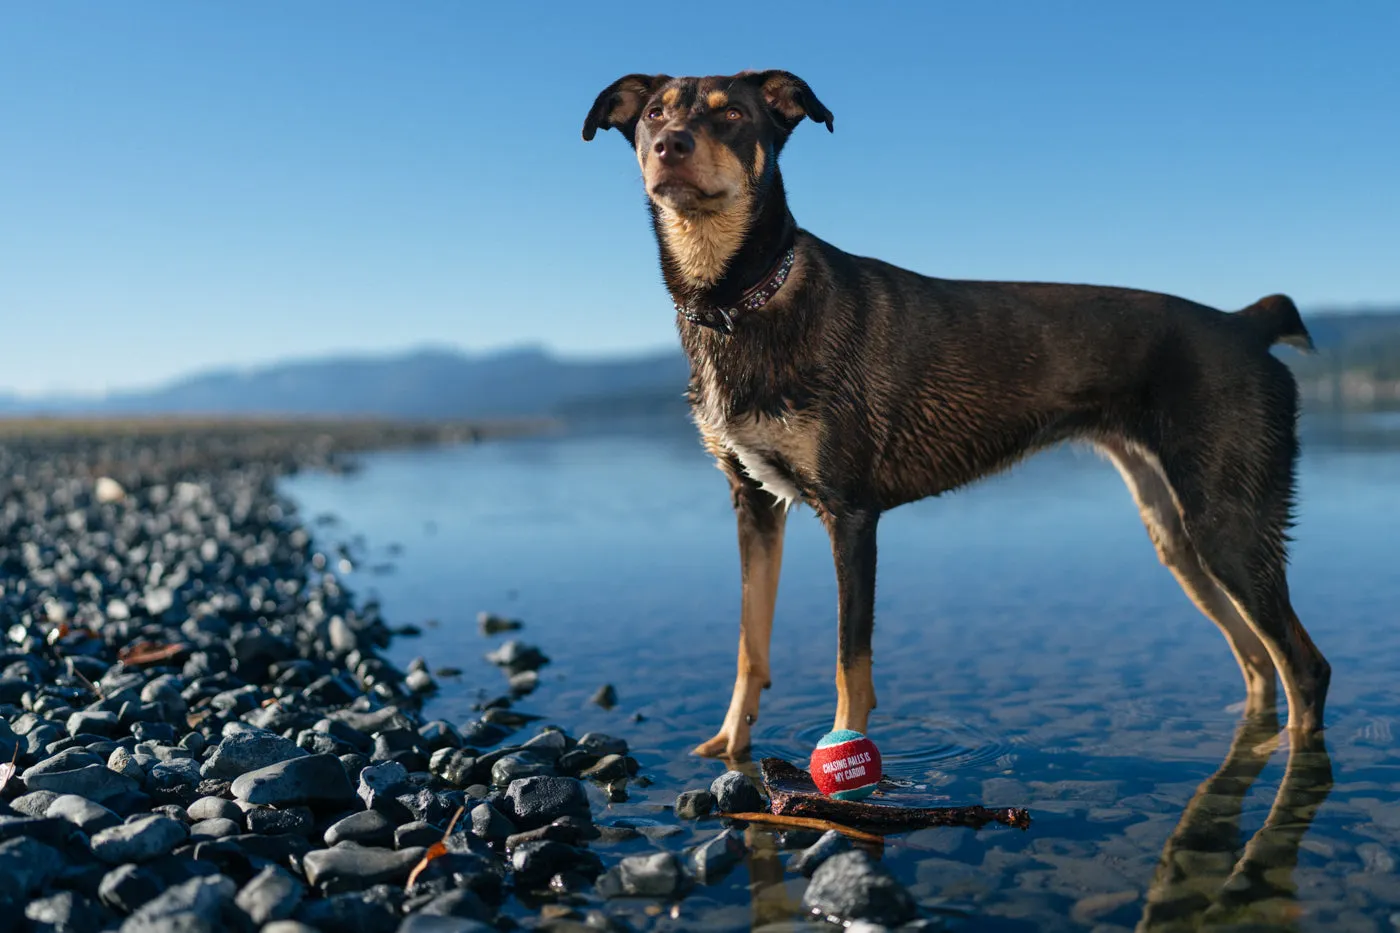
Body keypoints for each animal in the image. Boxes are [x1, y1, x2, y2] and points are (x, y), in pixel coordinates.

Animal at [579, 70, 1332, 756]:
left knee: (1306, 667)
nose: (670, 147)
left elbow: (850, 661)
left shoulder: (851, 513)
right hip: (1176, 534)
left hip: (1228, 523)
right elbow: (749, 641)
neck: (740, 299)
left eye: (732, 113)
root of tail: (1245, 325)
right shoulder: (753, 500)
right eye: (653, 113)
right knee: (1258, 658)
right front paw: (731, 744)